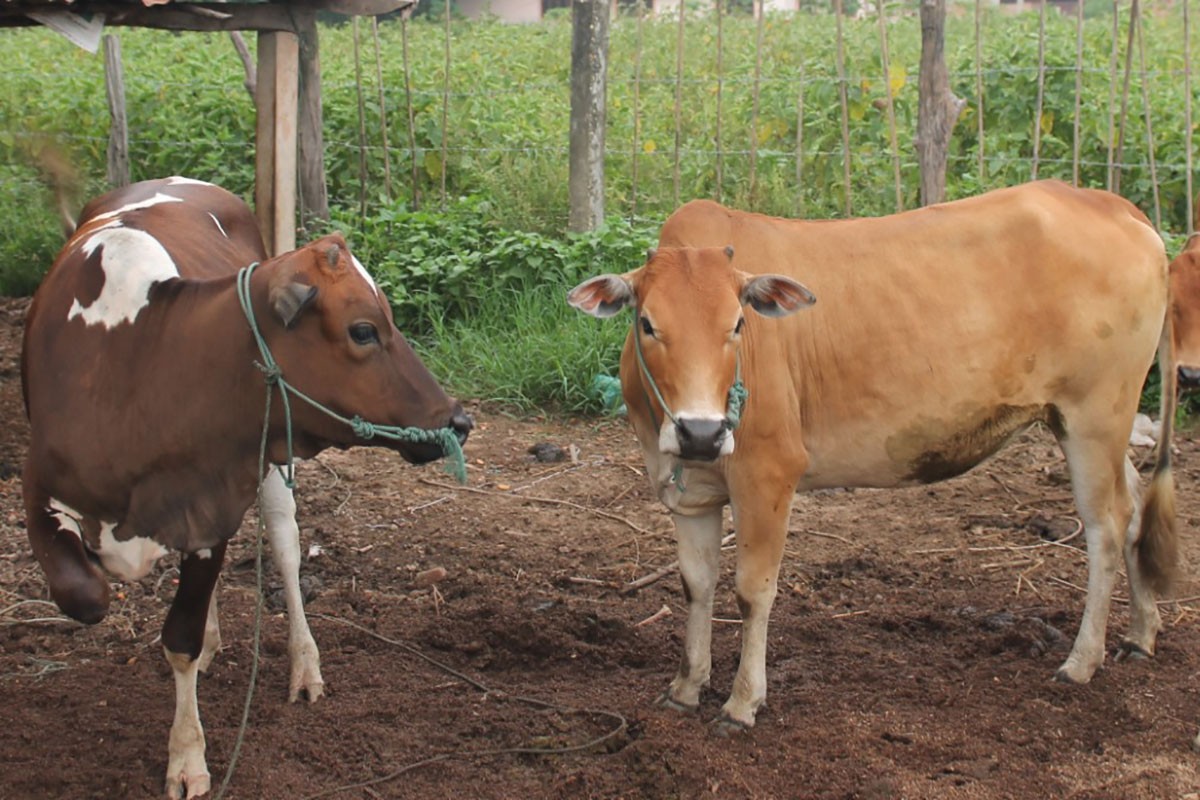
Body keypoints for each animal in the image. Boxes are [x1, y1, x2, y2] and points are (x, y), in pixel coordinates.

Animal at [21, 176, 472, 798]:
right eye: (363, 329)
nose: (458, 420)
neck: (134, 366)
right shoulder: (38, 485)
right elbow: (85, 595)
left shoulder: (214, 498)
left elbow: (180, 634)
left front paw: (187, 757)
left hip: (270, 465)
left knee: (284, 550)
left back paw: (304, 666)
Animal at [568, 180, 1177, 731]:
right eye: (648, 323)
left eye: (737, 324)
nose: (700, 432)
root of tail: (1110, 203)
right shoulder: (691, 492)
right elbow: (696, 585)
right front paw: (686, 686)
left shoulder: (768, 472)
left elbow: (751, 591)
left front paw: (742, 703)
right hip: (1089, 423)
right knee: (1133, 507)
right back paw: (1140, 633)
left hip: (1095, 414)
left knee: (1106, 524)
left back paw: (1081, 660)